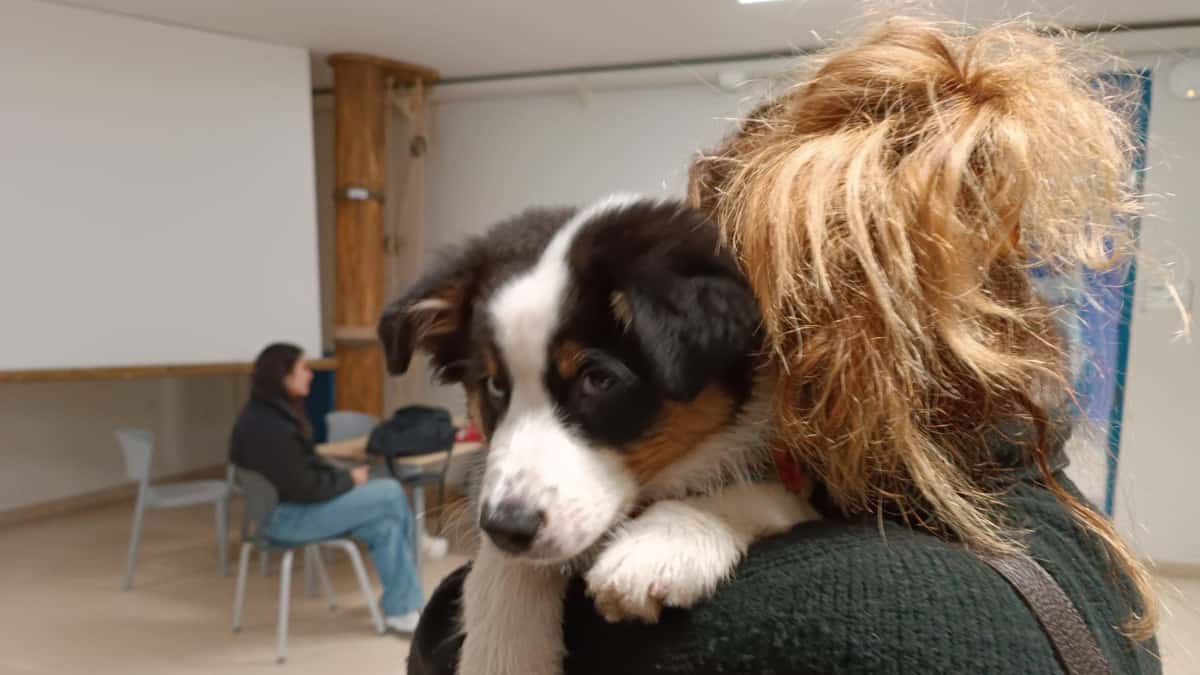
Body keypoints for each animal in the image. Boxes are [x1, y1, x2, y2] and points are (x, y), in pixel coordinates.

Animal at [381, 192, 816, 667]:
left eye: (598, 380)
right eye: (494, 385)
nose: (507, 528)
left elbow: (762, 491)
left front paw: (664, 544)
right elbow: (503, 578)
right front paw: (506, 650)